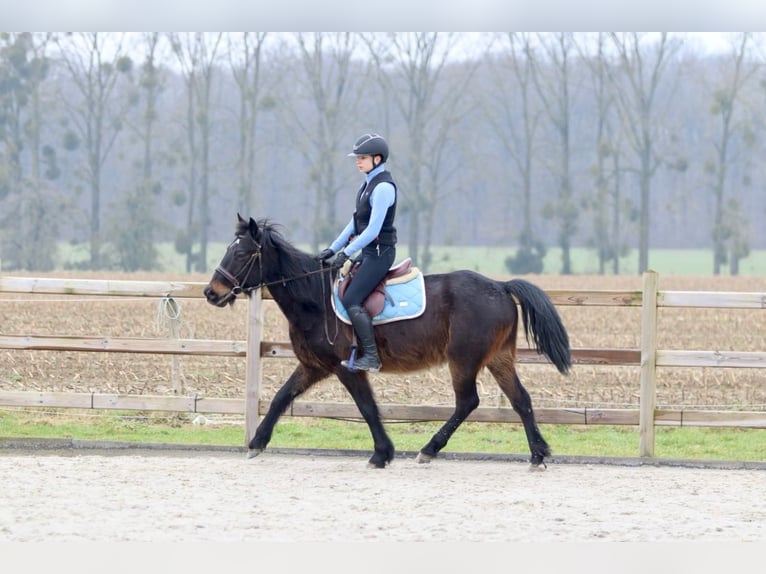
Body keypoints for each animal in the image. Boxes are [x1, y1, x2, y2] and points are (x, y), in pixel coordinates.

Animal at [207, 216, 572, 468]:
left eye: (243, 254)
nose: (211, 293)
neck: (315, 299)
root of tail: (500, 286)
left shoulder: (348, 368)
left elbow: (367, 407)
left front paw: (382, 454)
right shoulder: (313, 366)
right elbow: (281, 398)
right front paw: (256, 443)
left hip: (464, 359)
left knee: (467, 402)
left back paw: (428, 450)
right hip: (498, 359)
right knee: (521, 400)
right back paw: (538, 455)